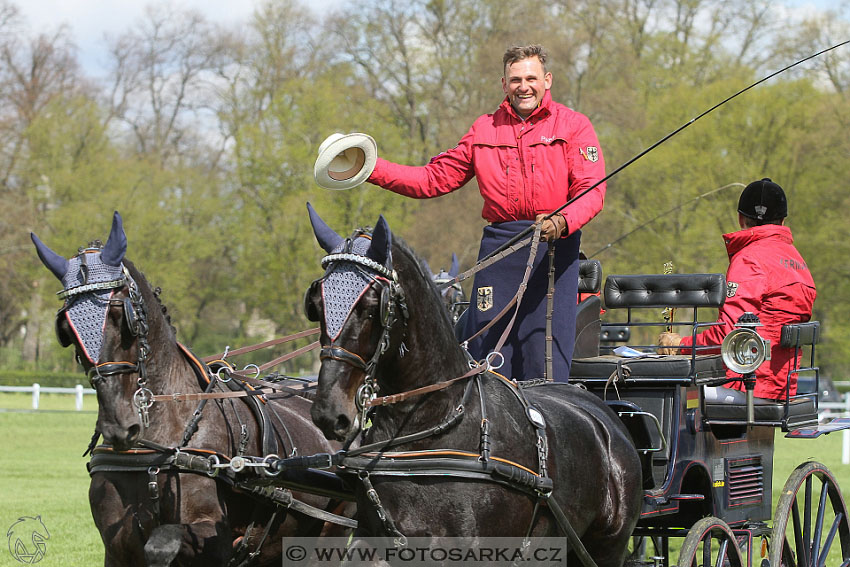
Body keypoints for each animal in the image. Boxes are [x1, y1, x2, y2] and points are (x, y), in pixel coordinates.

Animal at [33, 213, 344, 567]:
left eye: (119, 315)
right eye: (66, 327)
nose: (118, 425)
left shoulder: (212, 540)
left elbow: (161, 543)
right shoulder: (117, 546)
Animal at [302, 205, 640, 567]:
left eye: (370, 307)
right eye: (316, 305)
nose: (329, 412)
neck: (433, 425)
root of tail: (600, 412)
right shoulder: (375, 540)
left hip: (607, 546)